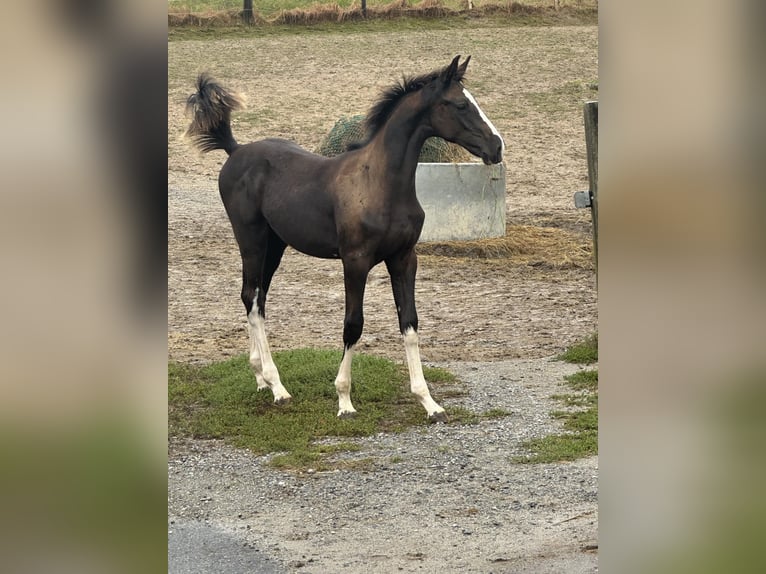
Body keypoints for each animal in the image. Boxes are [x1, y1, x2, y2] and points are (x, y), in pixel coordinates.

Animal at [185, 55, 504, 422]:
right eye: (461, 104)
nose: (497, 147)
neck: (380, 183)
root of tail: (235, 151)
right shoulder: (355, 261)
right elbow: (353, 324)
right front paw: (344, 401)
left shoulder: (404, 259)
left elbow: (409, 323)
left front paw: (429, 403)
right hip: (251, 240)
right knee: (252, 298)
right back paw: (277, 386)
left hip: (275, 246)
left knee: (256, 297)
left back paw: (261, 379)